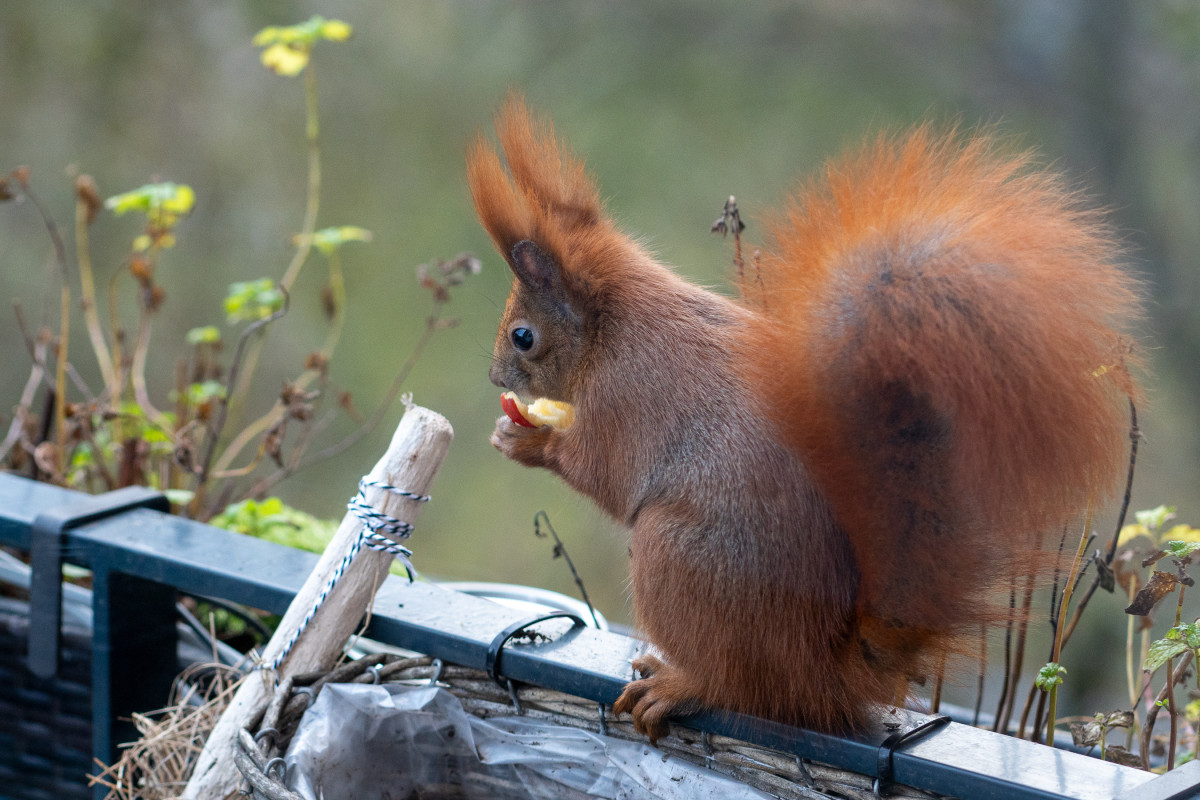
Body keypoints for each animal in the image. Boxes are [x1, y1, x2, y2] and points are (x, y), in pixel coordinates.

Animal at [463, 98, 1137, 738]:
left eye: (523, 336)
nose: (496, 380)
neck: (611, 326)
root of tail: (820, 667)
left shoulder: (626, 398)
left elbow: (601, 471)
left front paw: (523, 440)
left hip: (676, 558)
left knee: (743, 689)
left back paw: (681, 683)